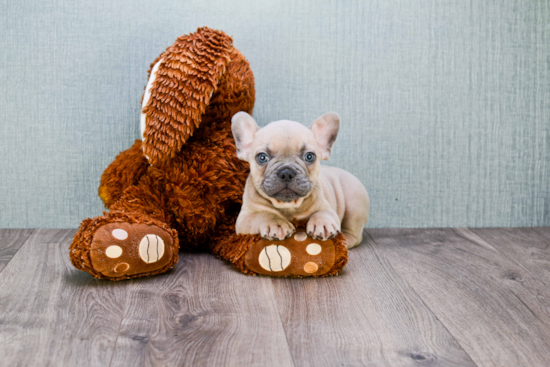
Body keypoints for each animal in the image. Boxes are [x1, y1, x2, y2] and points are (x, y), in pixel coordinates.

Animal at [232, 112, 370, 250]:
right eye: (262, 157)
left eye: (309, 156)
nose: (286, 173)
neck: (288, 206)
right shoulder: (244, 219)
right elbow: (264, 215)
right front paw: (276, 223)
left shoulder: (327, 207)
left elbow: (323, 213)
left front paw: (322, 223)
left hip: (354, 204)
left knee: (354, 235)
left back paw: (342, 242)